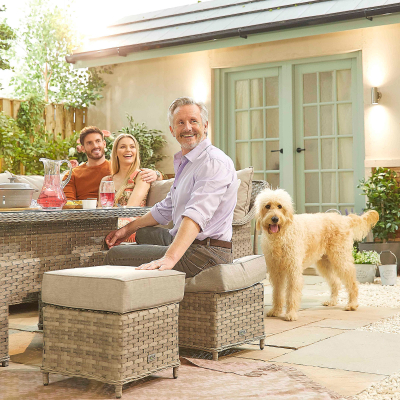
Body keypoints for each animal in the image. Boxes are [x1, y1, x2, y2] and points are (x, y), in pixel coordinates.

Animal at [255, 188, 380, 322]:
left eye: (280, 206)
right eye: (267, 206)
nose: (274, 219)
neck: (281, 235)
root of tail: (344, 219)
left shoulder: (293, 270)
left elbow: (292, 293)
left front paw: (291, 314)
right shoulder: (275, 272)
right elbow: (277, 293)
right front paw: (276, 311)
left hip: (340, 259)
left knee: (352, 282)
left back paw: (352, 304)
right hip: (324, 264)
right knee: (336, 282)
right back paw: (332, 302)